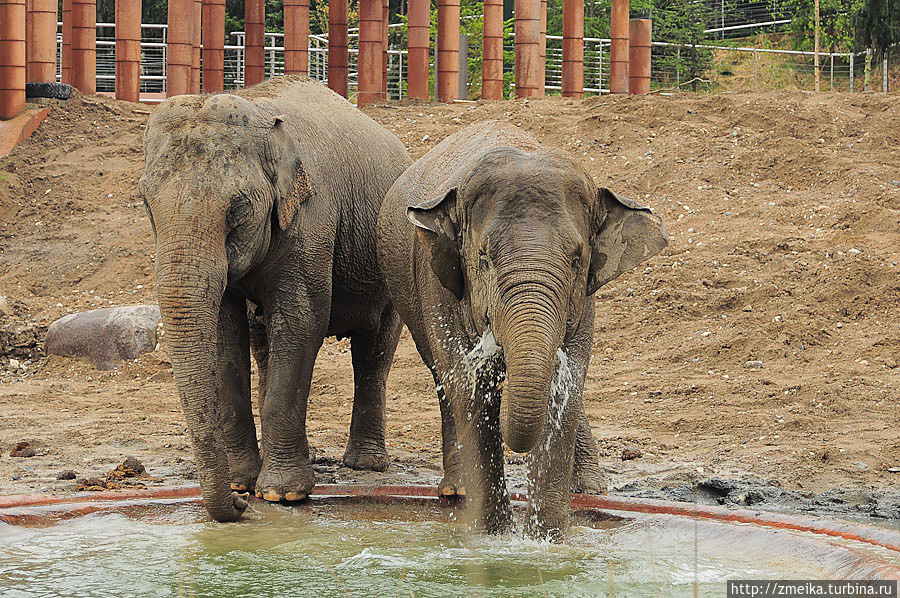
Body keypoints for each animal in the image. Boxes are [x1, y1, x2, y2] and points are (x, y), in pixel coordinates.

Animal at [139, 77, 414, 524]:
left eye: (237, 208)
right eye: (146, 202)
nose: (237, 507)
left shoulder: (312, 220)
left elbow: (301, 322)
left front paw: (281, 494)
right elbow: (225, 334)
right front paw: (242, 484)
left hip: (391, 256)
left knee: (373, 350)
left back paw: (364, 464)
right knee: (263, 343)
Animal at [374, 120, 668, 540]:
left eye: (577, 259)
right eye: (483, 259)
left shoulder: (585, 299)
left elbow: (566, 383)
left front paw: (548, 541)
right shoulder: (437, 285)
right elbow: (469, 389)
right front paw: (490, 539)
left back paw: (591, 490)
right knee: (443, 378)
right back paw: (457, 490)